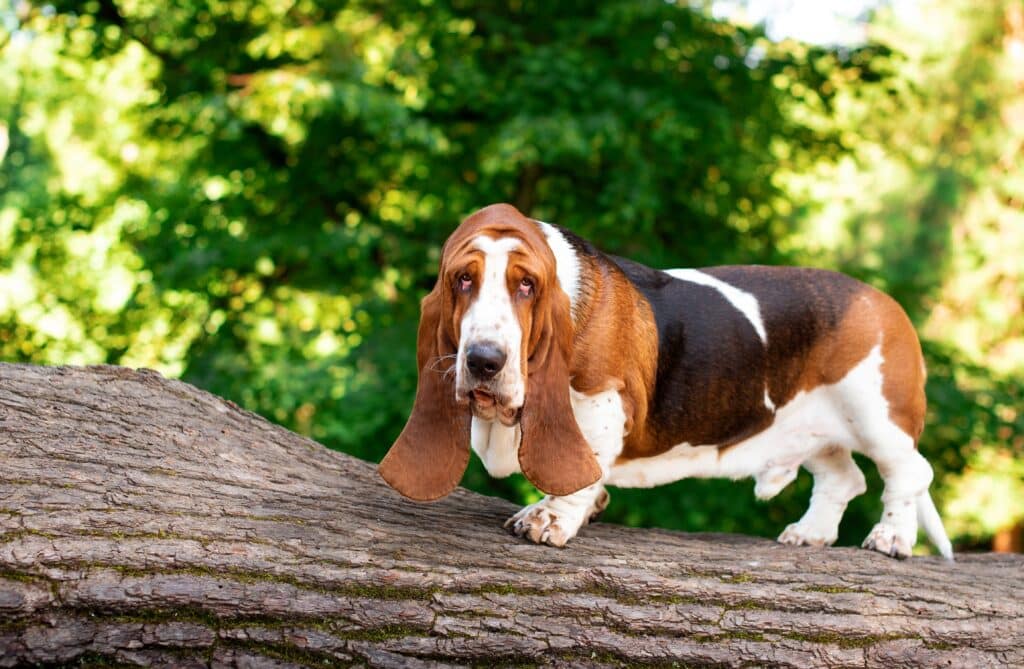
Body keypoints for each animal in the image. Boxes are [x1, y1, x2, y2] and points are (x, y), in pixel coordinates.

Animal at [380, 203, 954, 557]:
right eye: (463, 279)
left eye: (527, 285)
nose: (484, 361)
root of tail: (884, 302)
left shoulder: (600, 400)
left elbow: (582, 466)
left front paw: (553, 518)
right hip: (814, 431)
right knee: (844, 478)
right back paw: (810, 533)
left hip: (877, 417)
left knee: (908, 474)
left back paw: (891, 537)